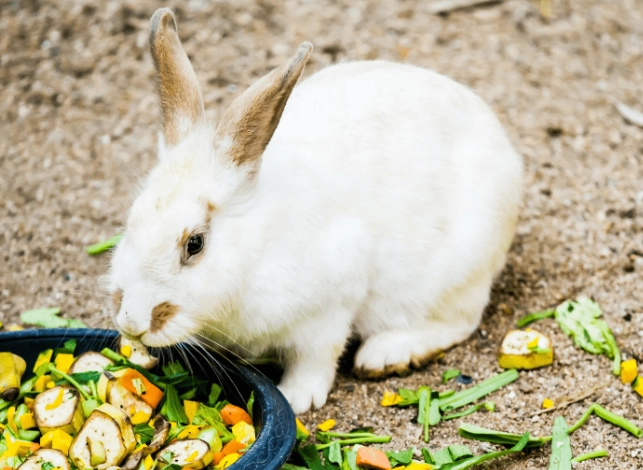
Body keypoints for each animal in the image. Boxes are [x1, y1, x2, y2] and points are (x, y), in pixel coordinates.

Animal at [108, 7, 523, 414]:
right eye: (131, 222)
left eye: (194, 244)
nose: (132, 322)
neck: (258, 244)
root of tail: (505, 151)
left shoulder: (329, 309)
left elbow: (317, 359)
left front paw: (297, 398)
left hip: (452, 277)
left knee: (460, 322)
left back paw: (385, 355)